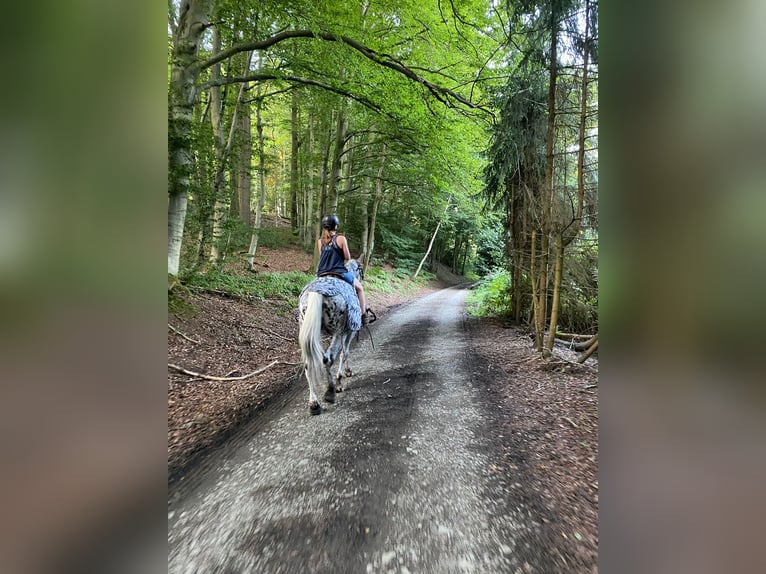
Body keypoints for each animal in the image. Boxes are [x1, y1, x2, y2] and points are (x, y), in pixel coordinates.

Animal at [298, 255, 368, 414]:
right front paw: (343, 377)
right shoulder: (349, 331)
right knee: (328, 359)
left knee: (308, 364)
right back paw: (330, 391)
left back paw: (314, 403)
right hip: (339, 331)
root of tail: (316, 292)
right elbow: (345, 353)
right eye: (360, 269)